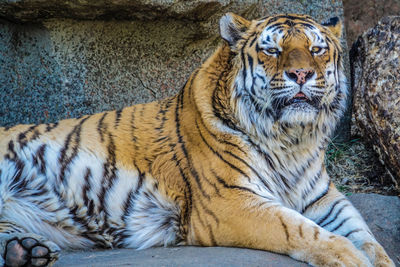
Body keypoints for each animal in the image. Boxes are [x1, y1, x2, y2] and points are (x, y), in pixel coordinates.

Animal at [0, 12, 394, 267]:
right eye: (272, 50)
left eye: (316, 49)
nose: (301, 74)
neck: (291, 141)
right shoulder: (231, 202)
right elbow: (302, 231)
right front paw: (351, 258)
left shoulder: (324, 200)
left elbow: (370, 240)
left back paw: (25, 250)